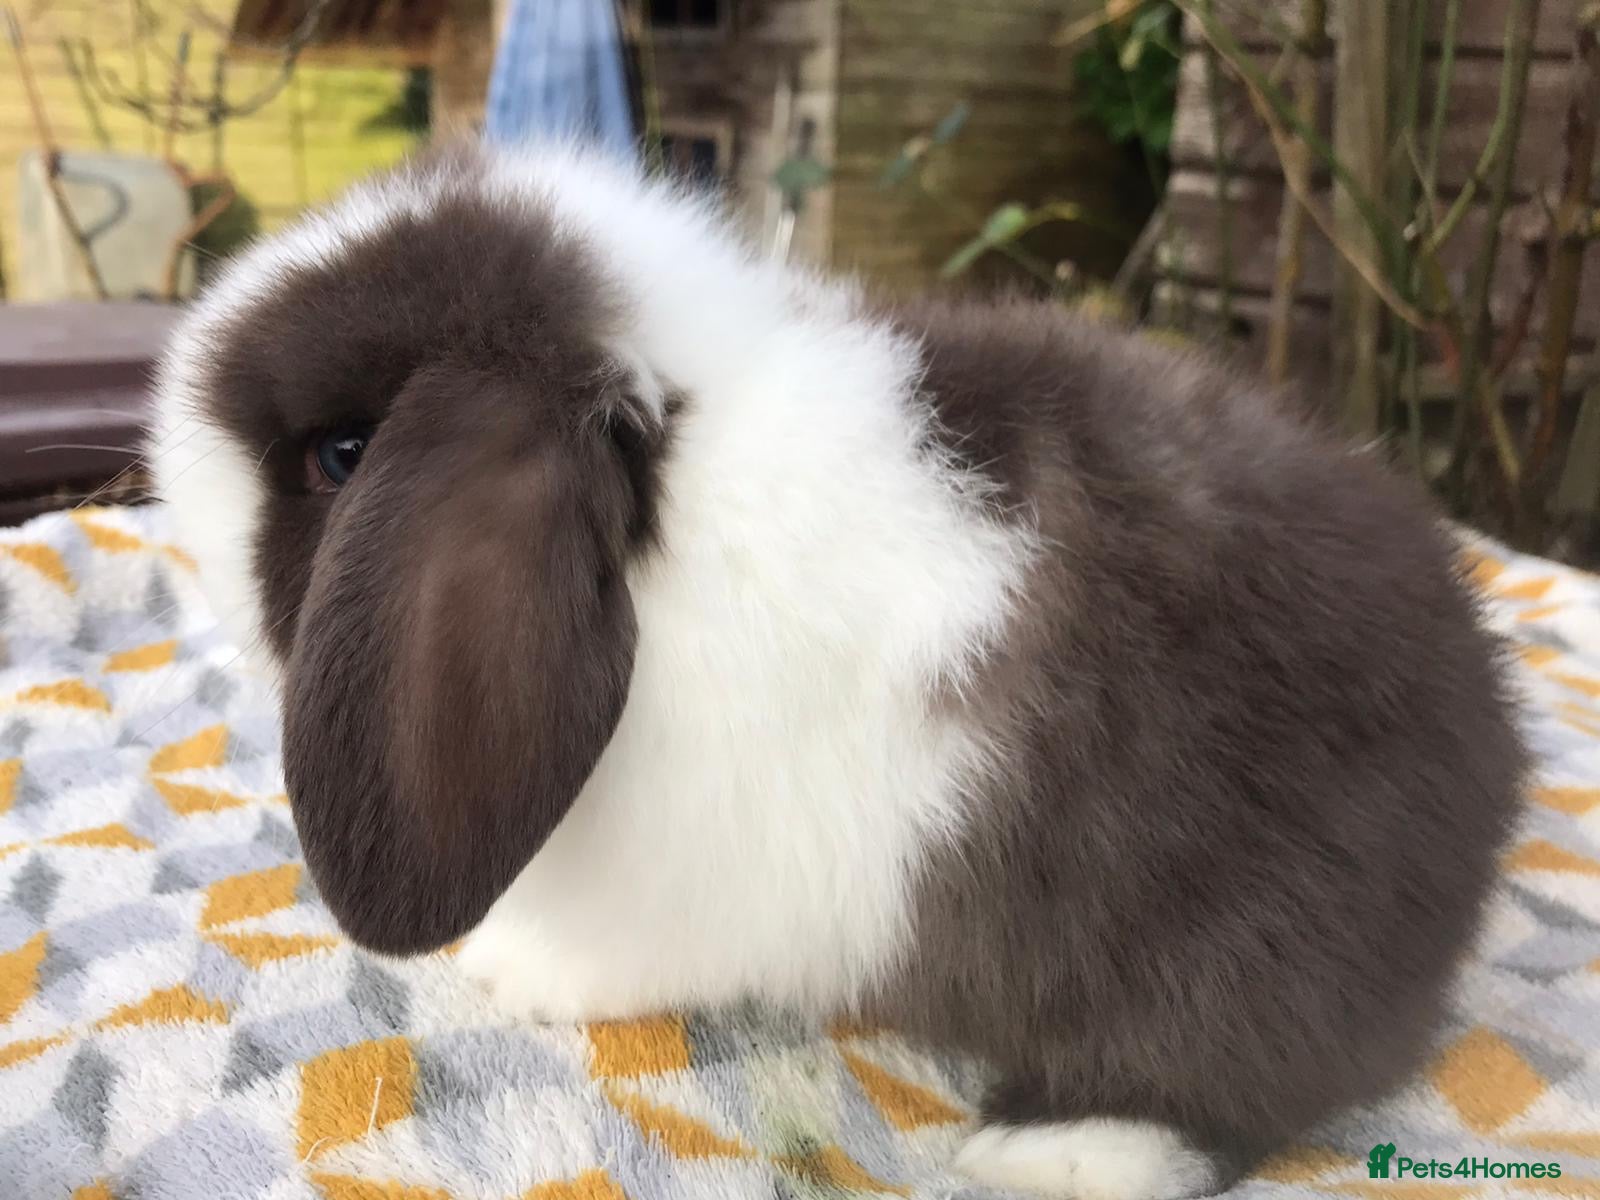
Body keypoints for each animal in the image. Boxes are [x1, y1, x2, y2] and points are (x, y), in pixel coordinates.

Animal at [149, 140, 1526, 1200]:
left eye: (341, 454)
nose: (164, 461)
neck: (670, 487)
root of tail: (1491, 769)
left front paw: (506, 972)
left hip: (1236, 939)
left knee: (1235, 1082)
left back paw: (1053, 1154)